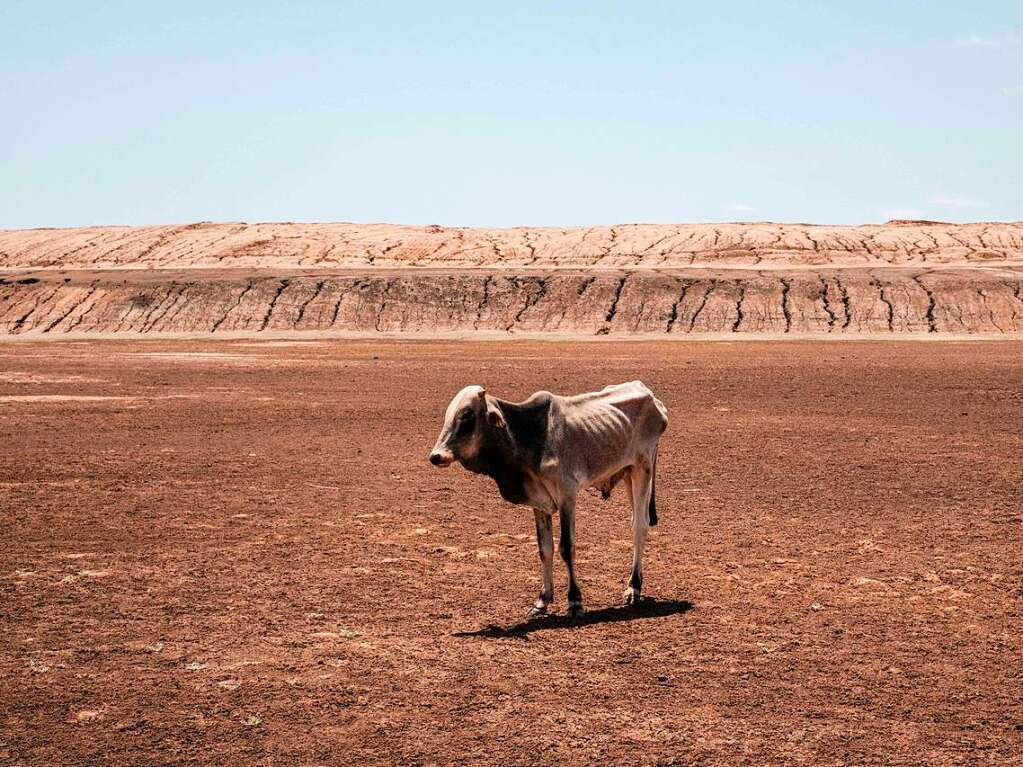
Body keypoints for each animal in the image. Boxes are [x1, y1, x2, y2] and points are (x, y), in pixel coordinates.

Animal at [427, 382, 666, 621]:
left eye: (466, 415)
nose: (436, 456)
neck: (529, 435)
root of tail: (652, 397)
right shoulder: (539, 503)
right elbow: (545, 549)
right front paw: (542, 600)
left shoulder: (567, 496)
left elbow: (566, 547)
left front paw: (575, 601)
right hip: (627, 473)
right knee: (636, 520)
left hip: (643, 468)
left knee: (640, 526)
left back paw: (634, 587)